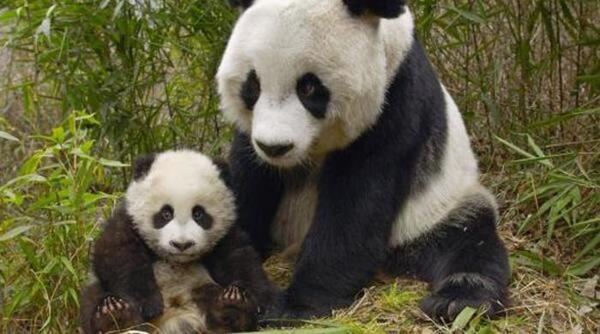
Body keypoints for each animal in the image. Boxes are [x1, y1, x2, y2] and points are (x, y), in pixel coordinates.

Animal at [77, 151, 278, 334]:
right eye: (166, 213)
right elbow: (118, 254)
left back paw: (233, 308)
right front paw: (147, 304)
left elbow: (240, 259)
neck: (175, 260)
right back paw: (113, 316)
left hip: (201, 288)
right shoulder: (127, 220)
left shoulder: (226, 234)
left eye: (199, 214)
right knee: (92, 297)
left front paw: (262, 303)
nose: (182, 245)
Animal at [218, 0, 508, 322]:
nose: (275, 147)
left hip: (438, 210)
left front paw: (296, 306)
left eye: (308, 87)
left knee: (470, 244)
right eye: (253, 84)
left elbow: (355, 206)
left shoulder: (395, 104)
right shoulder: (251, 138)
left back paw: (456, 302)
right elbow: (248, 181)